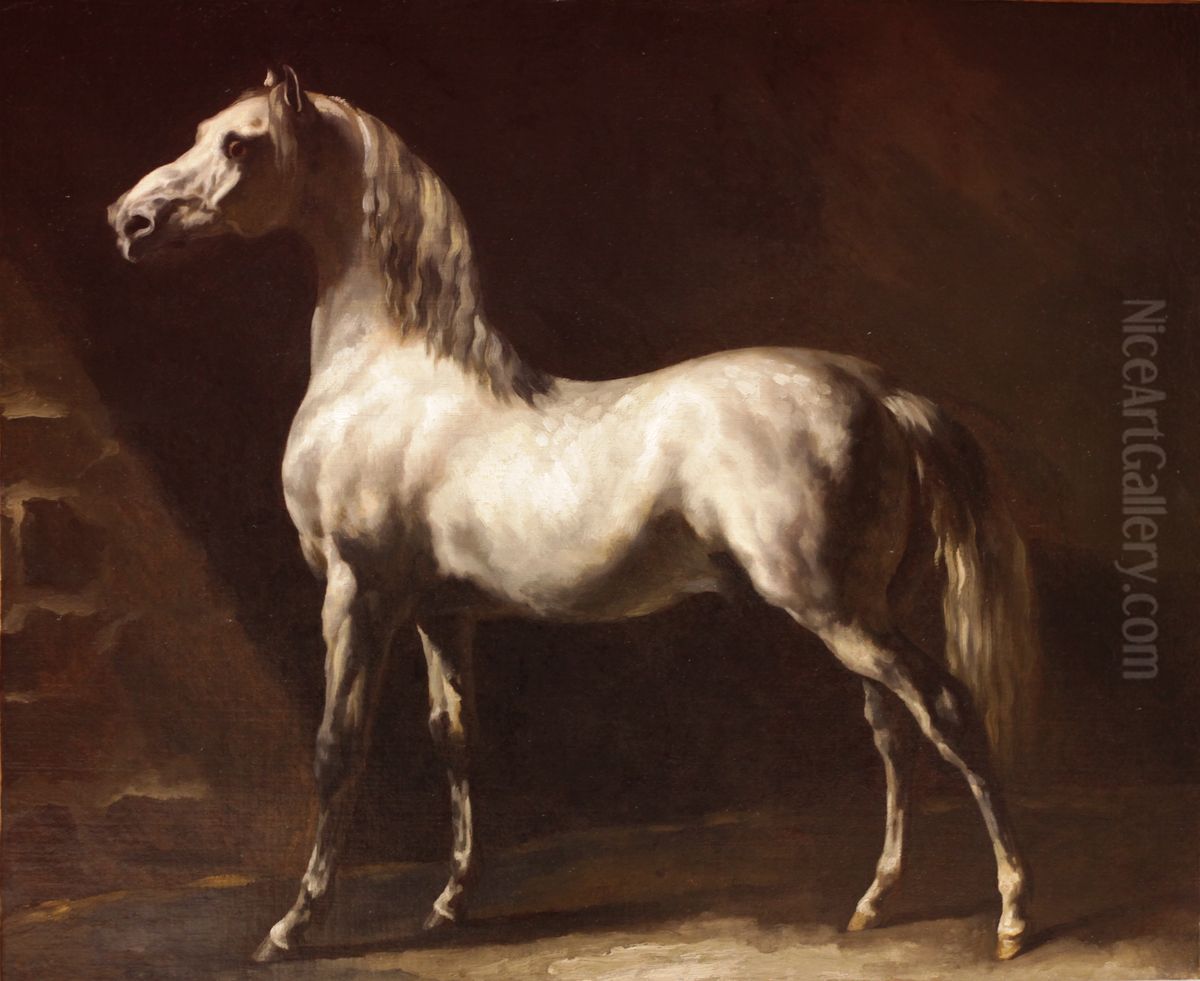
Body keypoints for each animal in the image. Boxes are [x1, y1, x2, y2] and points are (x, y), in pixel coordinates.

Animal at [108, 67, 1042, 963]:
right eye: (202, 131)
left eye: (239, 142)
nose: (130, 220)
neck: (385, 375)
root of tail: (881, 391)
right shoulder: (441, 613)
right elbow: (455, 738)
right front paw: (448, 903)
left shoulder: (358, 595)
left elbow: (337, 751)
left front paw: (291, 927)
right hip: (858, 612)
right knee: (893, 732)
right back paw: (874, 901)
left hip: (836, 610)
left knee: (947, 710)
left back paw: (1011, 912)